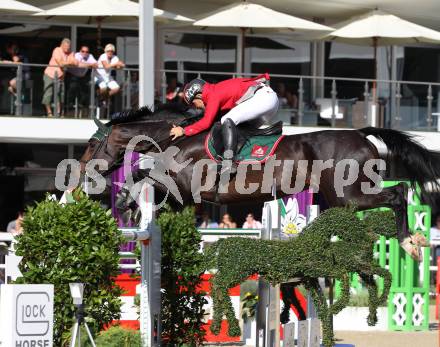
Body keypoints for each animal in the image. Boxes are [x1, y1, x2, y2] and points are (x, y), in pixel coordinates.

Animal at [80, 104, 440, 260]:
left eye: (90, 145)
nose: (83, 172)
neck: (179, 137)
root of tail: (361, 134)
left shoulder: (184, 188)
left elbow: (145, 174)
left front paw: (126, 200)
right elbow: (144, 173)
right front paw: (127, 201)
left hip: (350, 195)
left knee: (398, 194)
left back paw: (409, 242)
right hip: (339, 200)